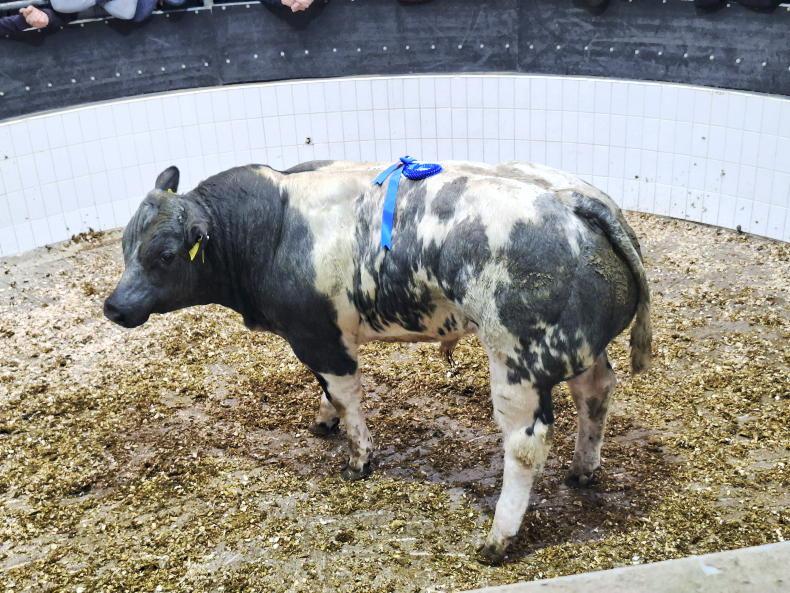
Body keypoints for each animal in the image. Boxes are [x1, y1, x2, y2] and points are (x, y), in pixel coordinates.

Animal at [104, 160, 652, 564]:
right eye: (126, 244)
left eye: (166, 254)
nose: (114, 306)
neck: (273, 228)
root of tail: (575, 201)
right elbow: (328, 394)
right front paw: (324, 421)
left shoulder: (320, 336)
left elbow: (346, 394)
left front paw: (358, 458)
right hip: (580, 348)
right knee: (597, 391)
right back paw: (583, 469)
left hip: (518, 362)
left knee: (524, 446)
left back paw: (497, 540)